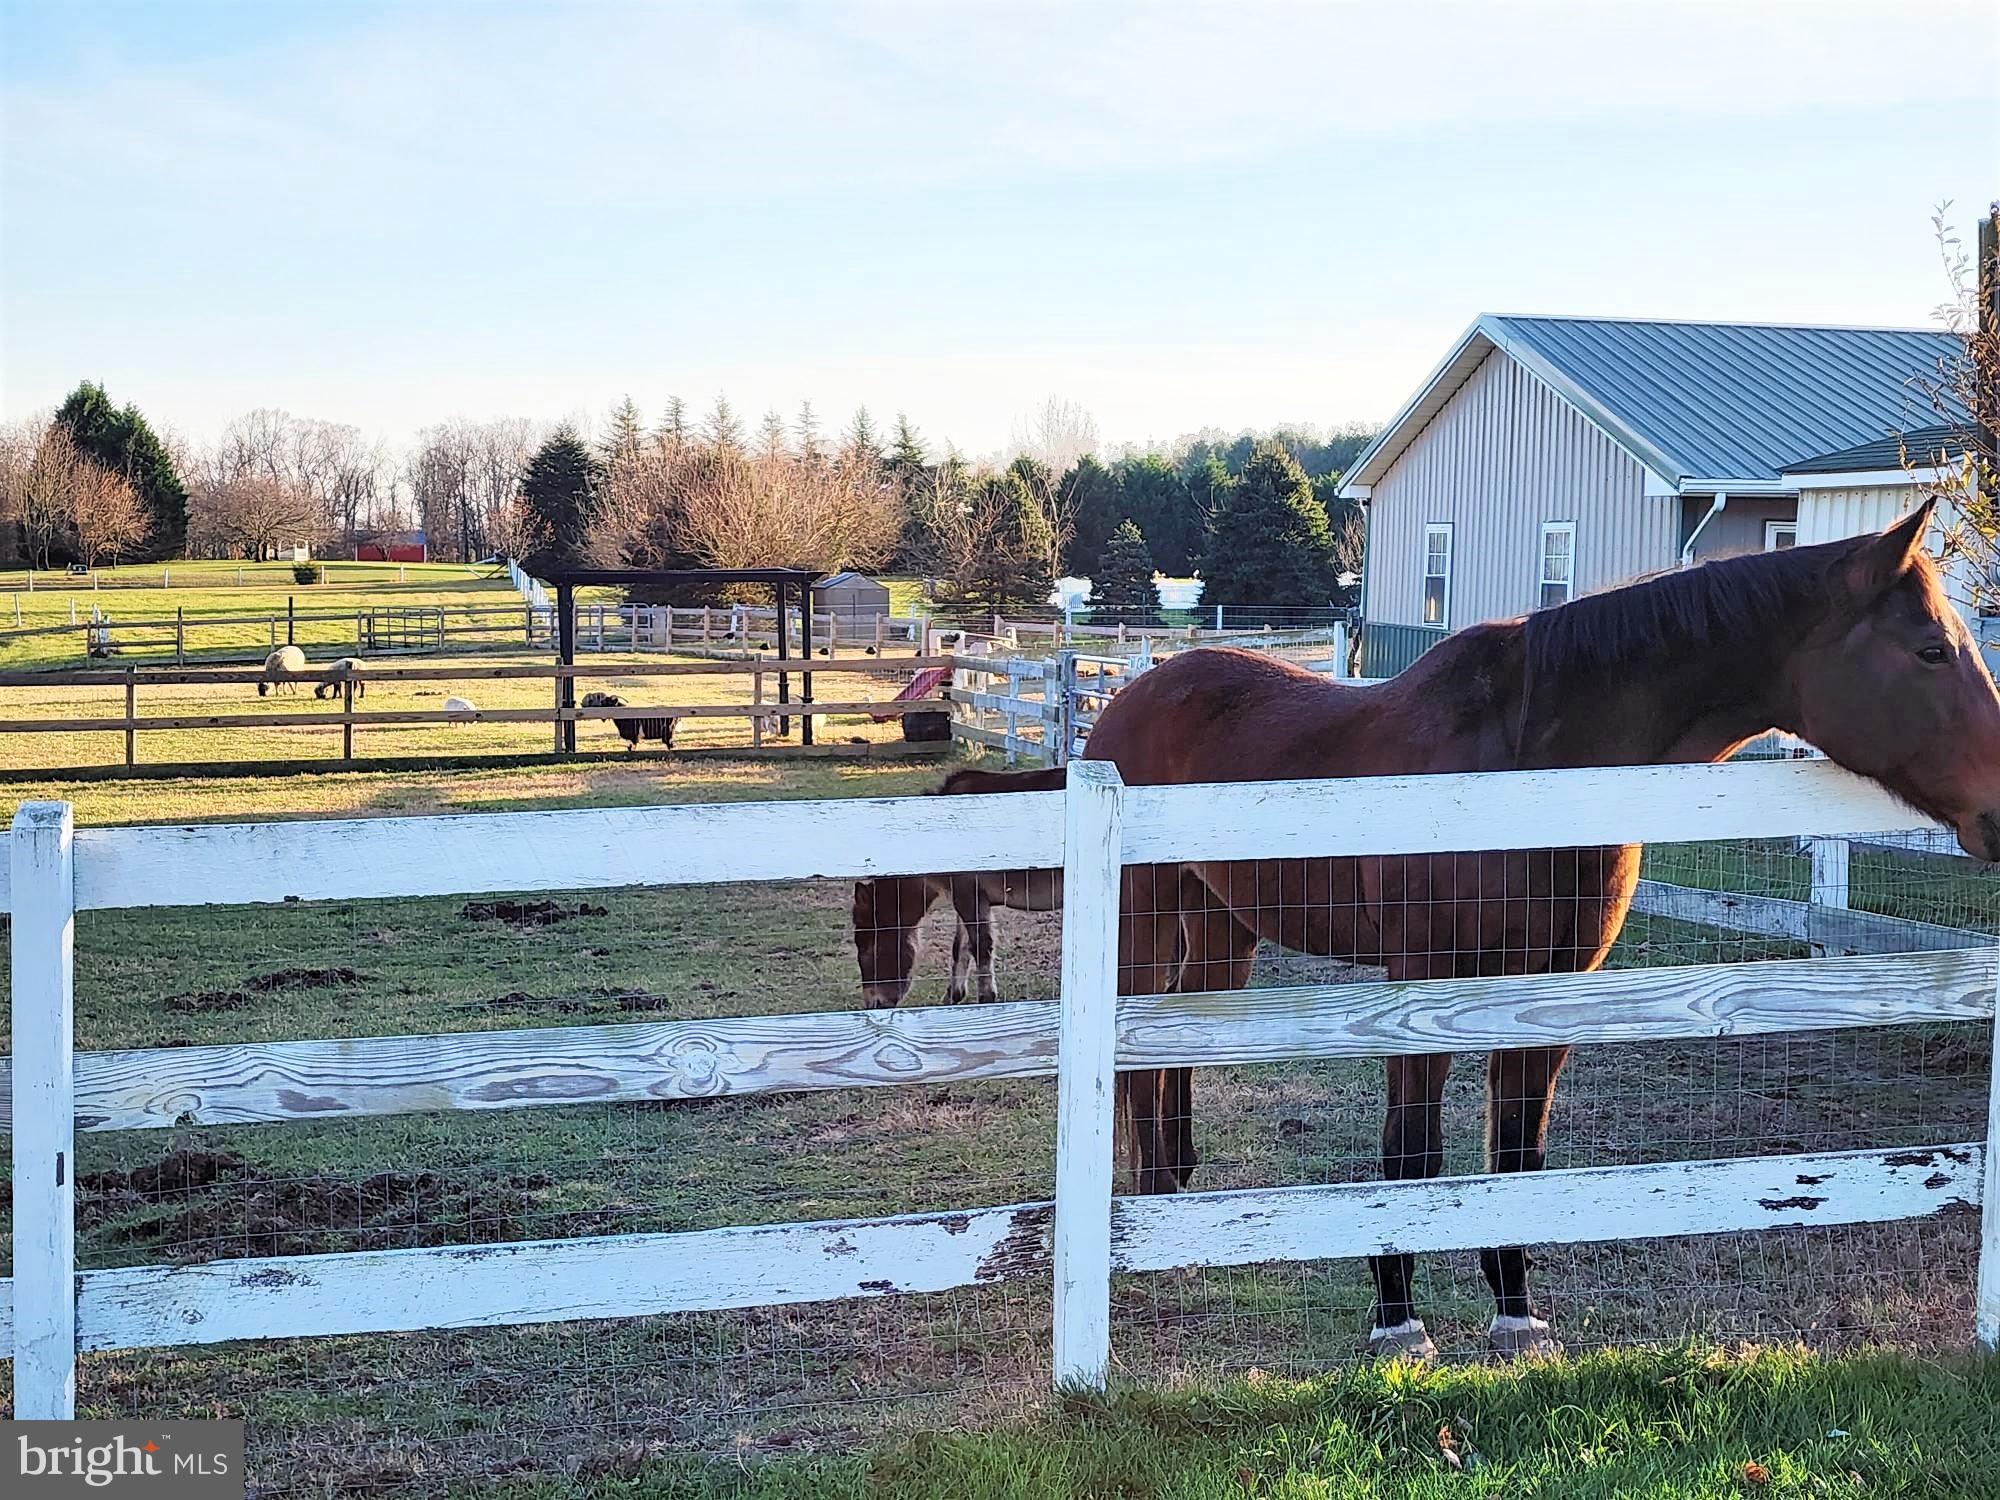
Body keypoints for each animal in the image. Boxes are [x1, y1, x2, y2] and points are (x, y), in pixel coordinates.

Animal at [1086, 503, 2000, 1361]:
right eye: (1931, 649)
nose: (1998, 811)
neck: (1527, 770)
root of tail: (1131, 697)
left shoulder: (1550, 987)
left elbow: (1518, 1156)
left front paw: (1515, 1315)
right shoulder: (1425, 983)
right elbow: (1412, 1153)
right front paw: (1396, 1320)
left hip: (1222, 928)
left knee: (1177, 1037)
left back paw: (1178, 1198)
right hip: (1145, 921)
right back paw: (1152, 1200)